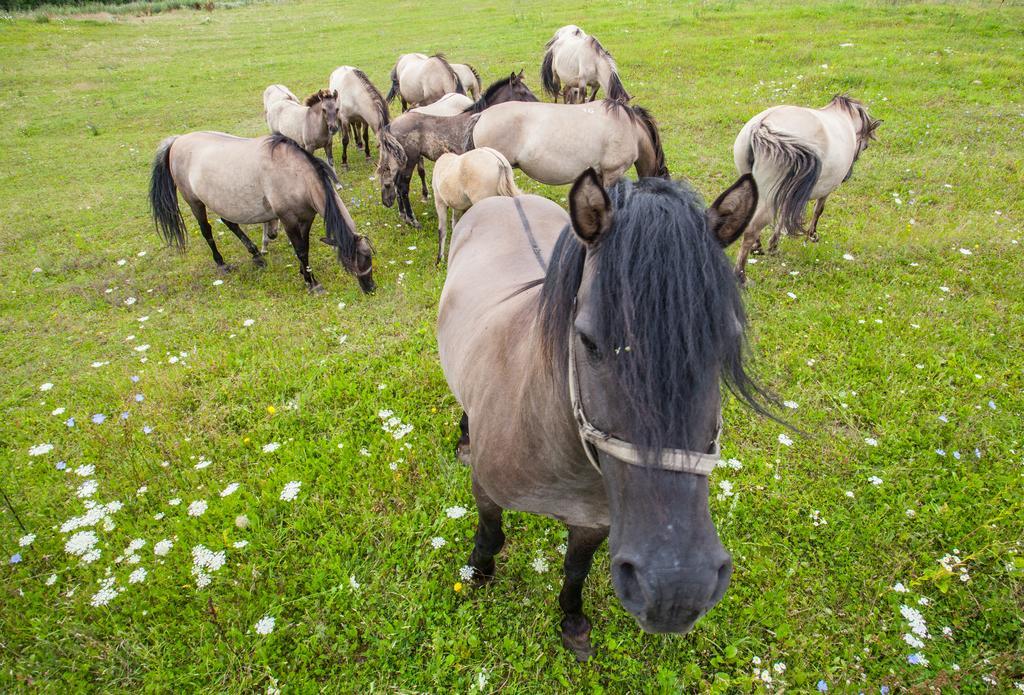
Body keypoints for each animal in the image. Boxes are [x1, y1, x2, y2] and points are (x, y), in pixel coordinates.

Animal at [148, 132, 376, 292]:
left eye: (369, 256)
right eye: (357, 260)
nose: (371, 287)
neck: (295, 173)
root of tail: (177, 140)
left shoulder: (306, 217)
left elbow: (305, 247)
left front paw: (304, 273)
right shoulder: (288, 219)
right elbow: (301, 250)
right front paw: (312, 283)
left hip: (223, 202)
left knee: (230, 222)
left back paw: (256, 255)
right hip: (194, 201)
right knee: (206, 230)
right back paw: (222, 263)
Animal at [374, 73, 536, 227]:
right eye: (523, 92)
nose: (537, 102)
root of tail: (391, 125)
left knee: (395, 182)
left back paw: (403, 215)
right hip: (410, 161)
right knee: (402, 187)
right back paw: (412, 220)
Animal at [436, 168, 765, 663]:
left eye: (726, 341)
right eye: (588, 341)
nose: (676, 587)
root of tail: (506, 199)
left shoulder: (593, 523)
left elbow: (576, 569)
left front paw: (572, 622)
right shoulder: (486, 491)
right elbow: (492, 536)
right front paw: (478, 573)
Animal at [729, 93, 880, 282]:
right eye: (865, 145)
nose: (847, 177)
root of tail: (761, 126)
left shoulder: (788, 192)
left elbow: (782, 218)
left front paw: (773, 245)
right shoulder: (824, 190)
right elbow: (818, 211)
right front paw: (812, 235)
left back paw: (757, 248)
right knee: (751, 230)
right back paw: (741, 276)